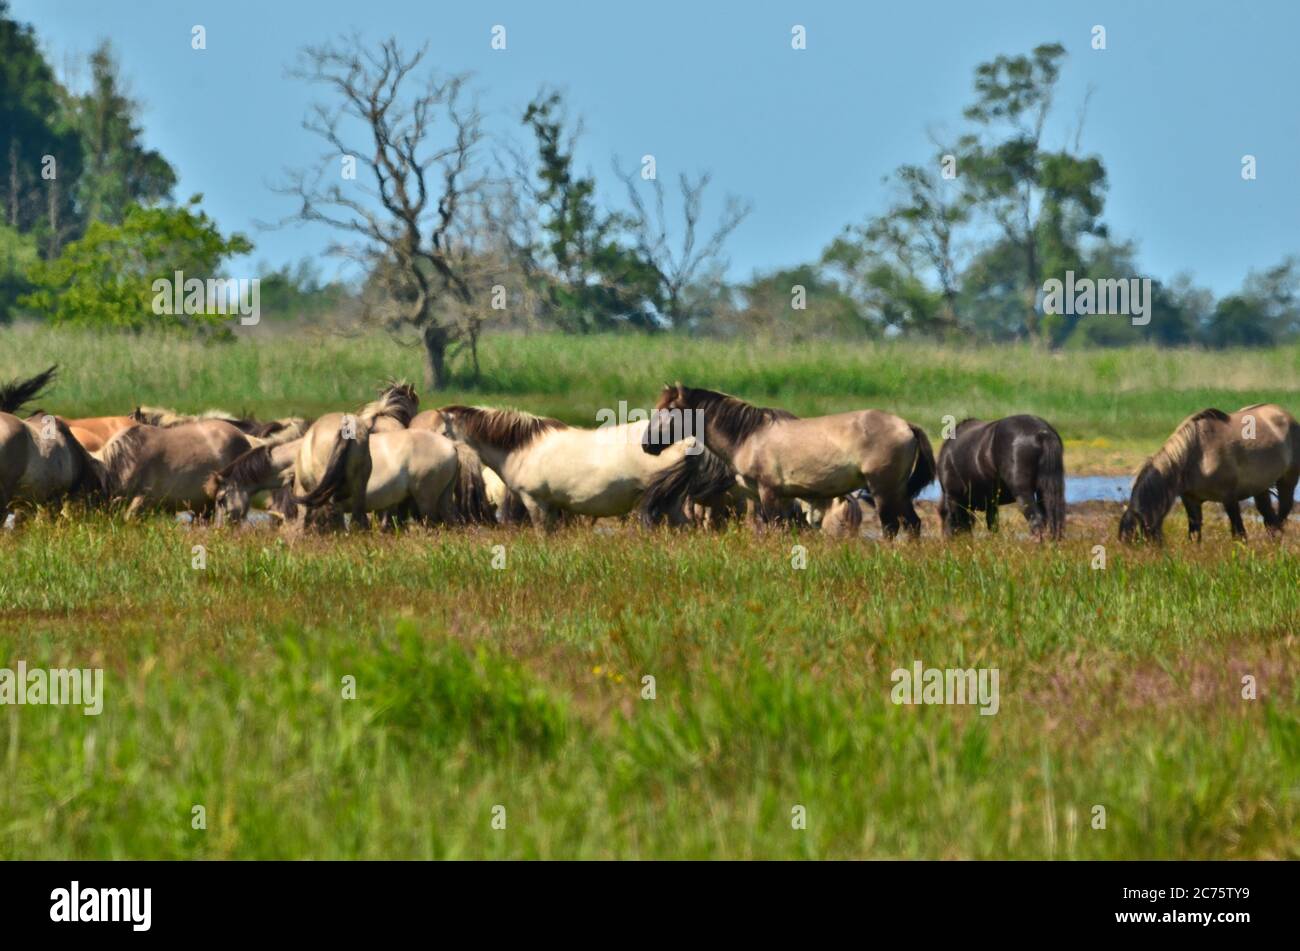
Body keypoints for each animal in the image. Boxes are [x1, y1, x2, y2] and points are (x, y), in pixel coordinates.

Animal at [642, 384, 930, 535]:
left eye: (670, 411)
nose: (647, 444)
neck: (748, 435)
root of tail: (906, 425)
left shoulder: (768, 491)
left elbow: (775, 527)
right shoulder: (766, 496)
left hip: (883, 488)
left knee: (891, 526)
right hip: (898, 489)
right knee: (913, 523)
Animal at [941, 415, 1071, 543]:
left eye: (942, 515)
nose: (947, 541)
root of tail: (1042, 433)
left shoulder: (953, 496)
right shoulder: (991, 502)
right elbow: (993, 525)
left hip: (1023, 493)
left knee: (1036, 520)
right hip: (1045, 491)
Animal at [1118, 405, 1300, 545]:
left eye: (1139, 540)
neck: (1198, 455)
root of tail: (1286, 415)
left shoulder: (1229, 498)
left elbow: (1239, 533)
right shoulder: (1191, 500)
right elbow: (1194, 535)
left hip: (1287, 481)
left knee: (1282, 513)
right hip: (1260, 488)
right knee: (1269, 518)